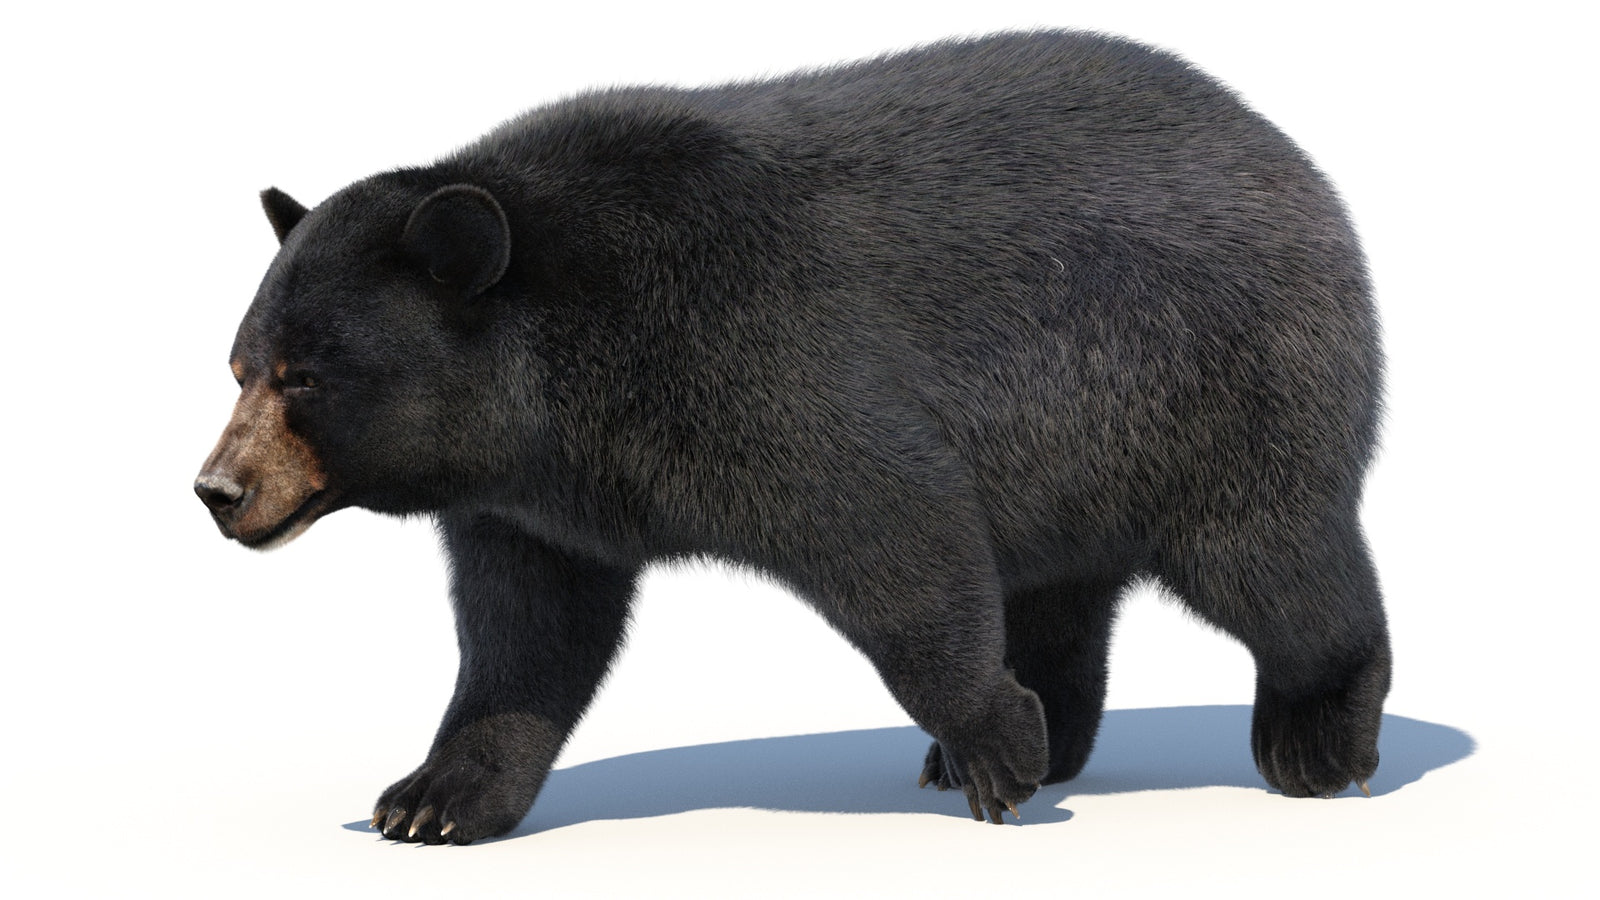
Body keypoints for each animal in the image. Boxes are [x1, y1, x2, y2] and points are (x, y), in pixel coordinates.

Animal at [195, 30, 1390, 844]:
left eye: (308, 377)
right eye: (242, 366)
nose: (218, 490)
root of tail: (1297, 165)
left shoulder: (751, 354)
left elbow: (894, 527)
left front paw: (992, 743)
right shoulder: (533, 500)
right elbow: (524, 634)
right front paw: (432, 798)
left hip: (1203, 384)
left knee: (1272, 558)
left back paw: (1318, 735)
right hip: (1075, 454)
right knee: (1061, 586)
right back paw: (1041, 731)